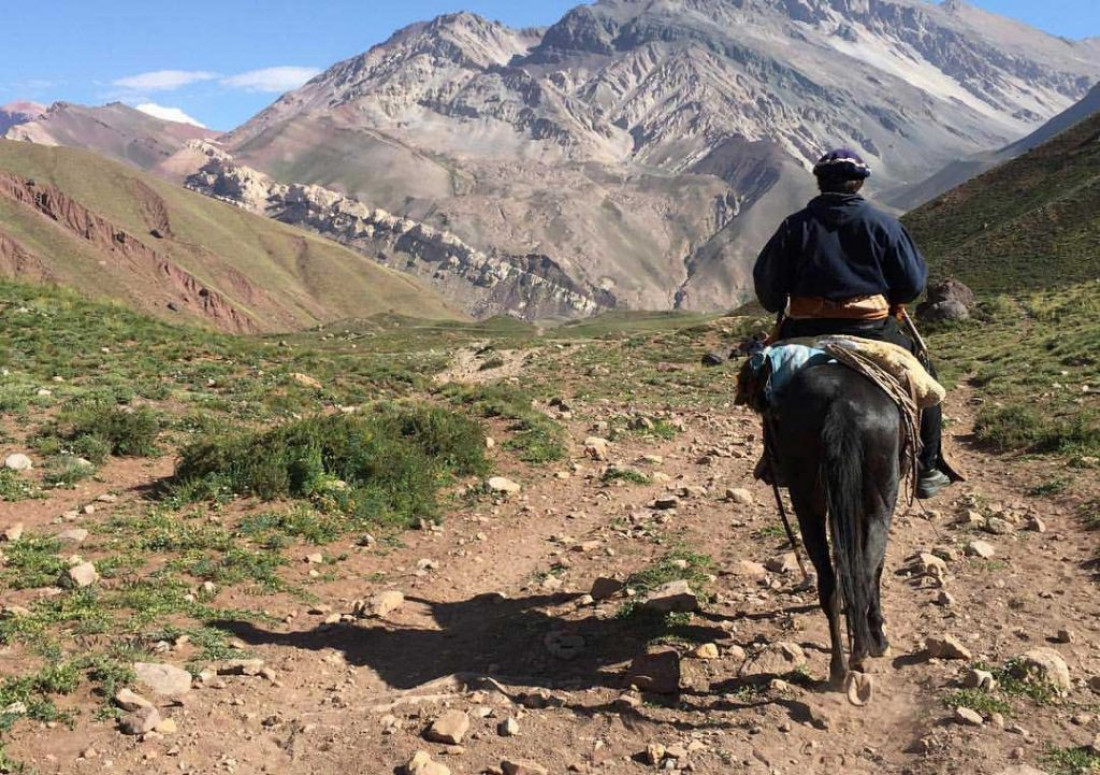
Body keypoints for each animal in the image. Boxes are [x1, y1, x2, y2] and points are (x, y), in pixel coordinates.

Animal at [765, 360, 902, 699]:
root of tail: (841, 406)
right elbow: (877, 568)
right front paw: (877, 630)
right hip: (880, 502)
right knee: (863, 574)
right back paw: (866, 650)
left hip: (807, 502)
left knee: (830, 583)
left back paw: (839, 668)